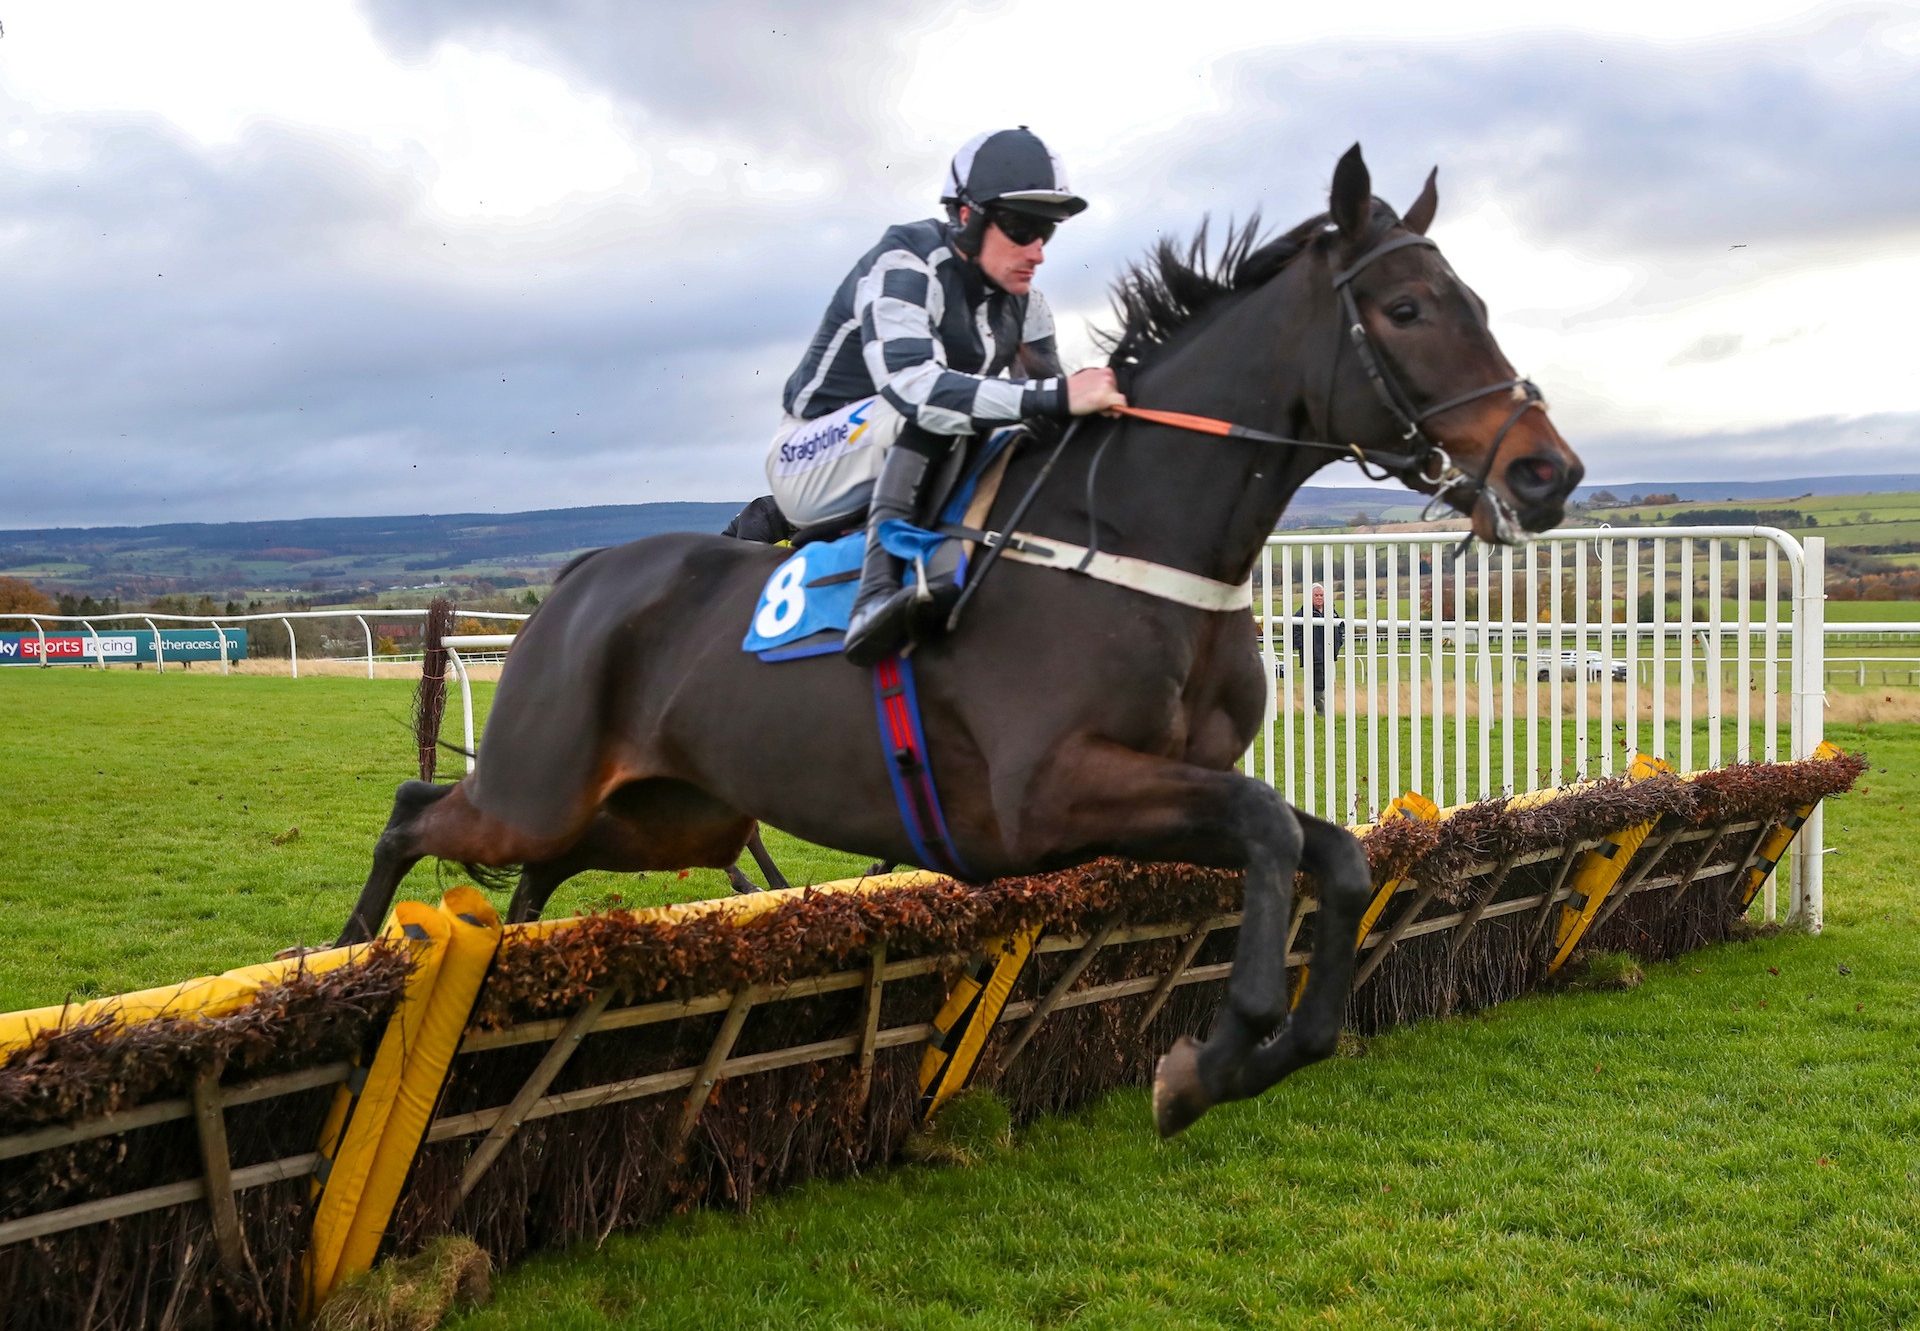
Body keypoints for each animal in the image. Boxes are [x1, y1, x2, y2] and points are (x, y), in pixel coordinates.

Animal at [341, 150, 1574, 1137]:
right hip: (544, 784)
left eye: (1475, 297)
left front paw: (1249, 1054)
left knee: (520, 860)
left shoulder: (1182, 786)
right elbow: (1275, 828)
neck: (1135, 536)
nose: (1545, 470)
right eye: (1409, 307)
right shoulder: (1049, 795)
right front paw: (1207, 1060)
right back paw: (360, 957)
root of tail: (584, 574)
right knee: (413, 811)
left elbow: (1330, 851)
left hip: (667, 814)